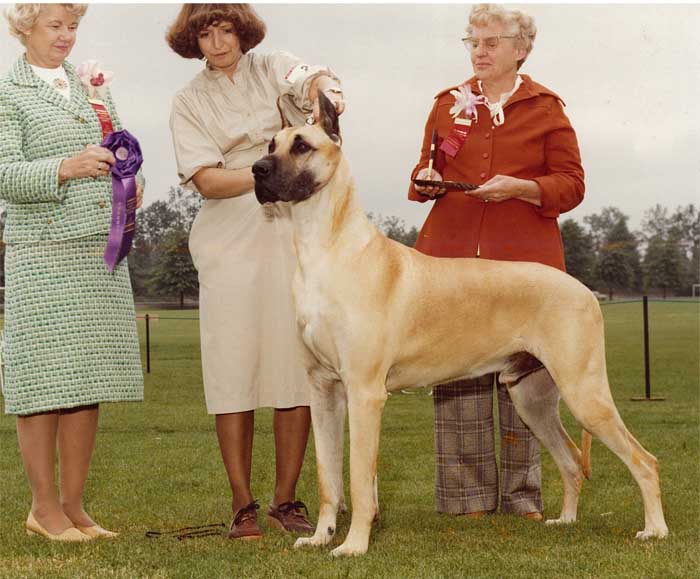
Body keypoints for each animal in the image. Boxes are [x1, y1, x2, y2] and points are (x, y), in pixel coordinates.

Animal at [252, 93, 668, 556]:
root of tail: (585, 290)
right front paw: (321, 536)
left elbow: (360, 481)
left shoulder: (364, 393)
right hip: (532, 399)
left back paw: (655, 530)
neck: (326, 249)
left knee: (644, 461)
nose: (257, 170)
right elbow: (329, 477)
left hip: (585, 392)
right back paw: (565, 520)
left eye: (302, 146)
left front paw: (354, 545)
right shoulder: (324, 391)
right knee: (572, 460)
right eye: (271, 145)